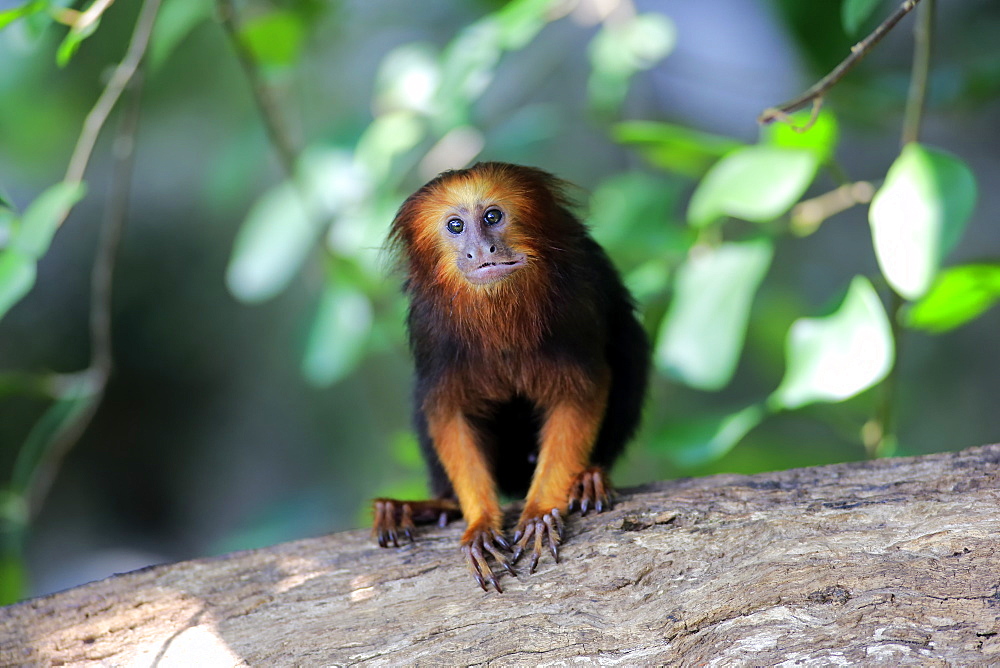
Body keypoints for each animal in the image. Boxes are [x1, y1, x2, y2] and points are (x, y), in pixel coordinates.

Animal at [374, 164, 648, 592]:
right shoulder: (430, 332)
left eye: (492, 217)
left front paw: (540, 510)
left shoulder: (577, 300)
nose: (480, 250)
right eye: (455, 225)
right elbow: (448, 413)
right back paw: (422, 507)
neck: (500, 309)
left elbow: (580, 394)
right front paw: (480, 524)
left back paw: (588, 477)